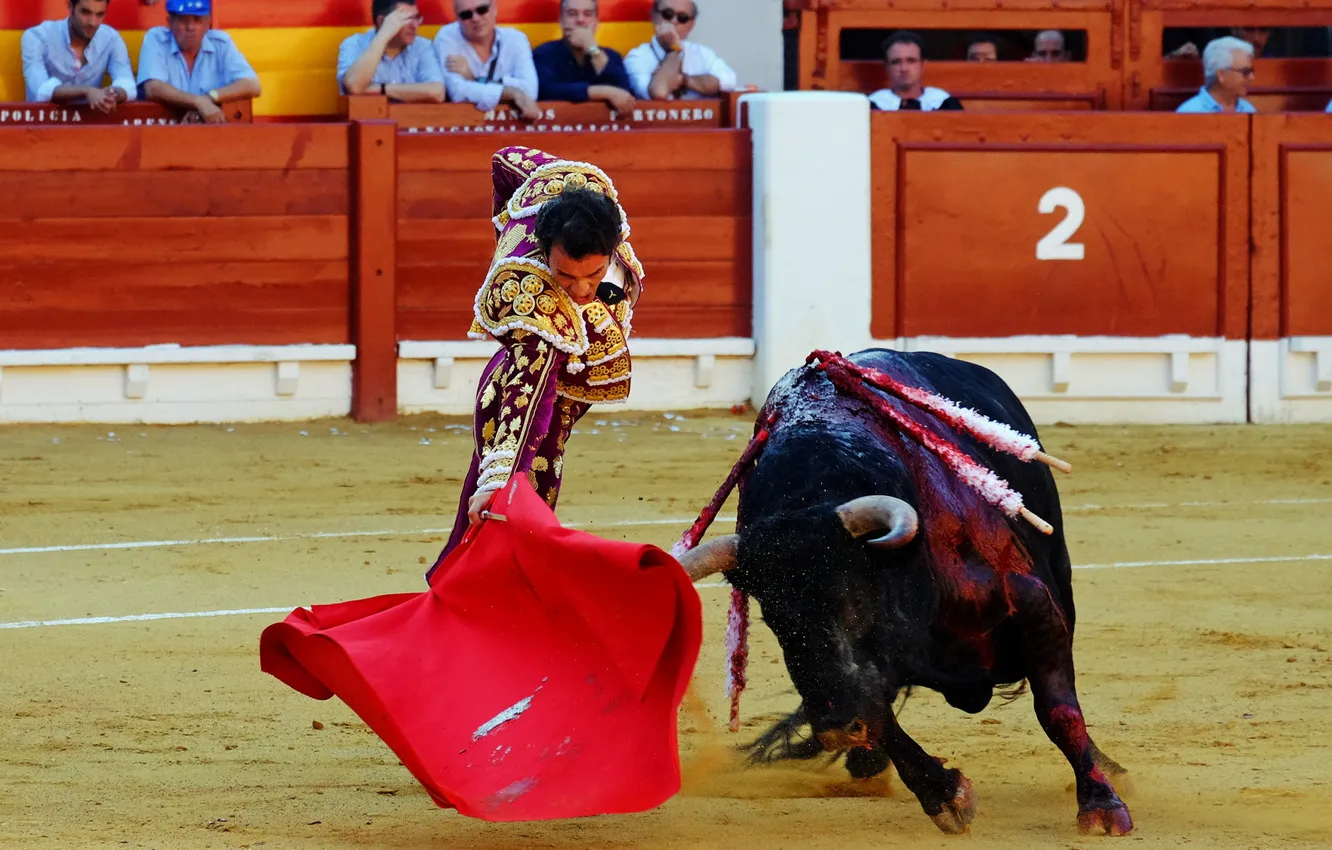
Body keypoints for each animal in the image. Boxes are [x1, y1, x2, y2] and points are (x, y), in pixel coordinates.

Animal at [678, 348, 1133, 836]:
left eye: (854, 598)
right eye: (775, 619)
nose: (835, 728)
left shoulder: (1035, 607)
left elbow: (1058, 710)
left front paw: (1102, 805)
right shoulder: (860, 678)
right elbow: (881, 718)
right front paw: (946, 796)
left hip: (1060, 570)